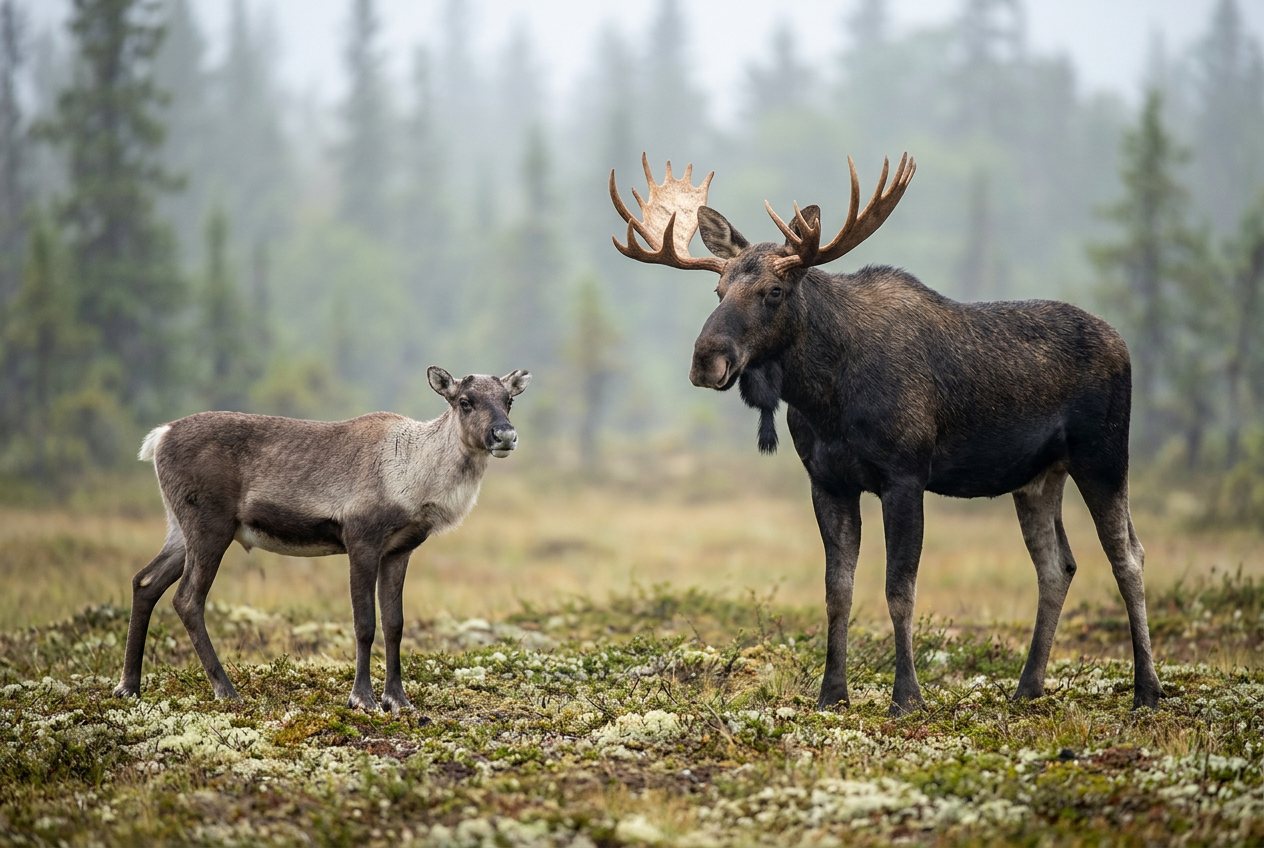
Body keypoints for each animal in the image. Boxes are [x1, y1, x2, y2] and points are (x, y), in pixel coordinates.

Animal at [113, 366, 531, 712]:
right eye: (465, 401)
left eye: (508, 400)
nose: (505, 435)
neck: (414, 477)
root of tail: (159, 438)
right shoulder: (361, 540)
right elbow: (365, 623)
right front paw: (362, 699)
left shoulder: (399, 550)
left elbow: (395, 624)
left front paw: (398, 700)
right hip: (209, 526)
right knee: (187, 599)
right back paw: (226, 690)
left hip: (179, 530)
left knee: (145, 582)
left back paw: (129, 686)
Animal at [610, 154, 1162, 715]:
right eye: (718, 291)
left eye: (774, 292)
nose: (707, 360)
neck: (826, 396)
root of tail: (1123, 345)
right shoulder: (828, 482)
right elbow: (837, 590)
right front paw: (832, 693)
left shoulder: (905, 477)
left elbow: (900, 590)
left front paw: (907, 696)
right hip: (1037, 477)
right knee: (1057, 566)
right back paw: (1028, 686)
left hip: (1104, 456)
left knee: (1128, 556)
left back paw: (1148, 688)